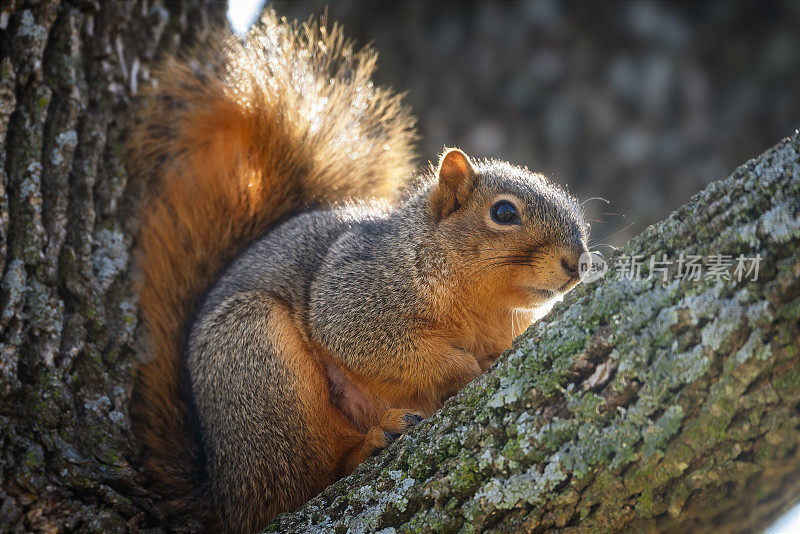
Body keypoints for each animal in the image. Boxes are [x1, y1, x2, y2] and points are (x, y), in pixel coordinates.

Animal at [131, 9, 592, 534]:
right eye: (504, 213)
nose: (579, 262)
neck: (482, 305)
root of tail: (221, 491)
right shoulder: (356, 293)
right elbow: (381, 346)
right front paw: (468, 368)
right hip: (256, 362)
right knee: (295, 486)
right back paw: (370, 442)